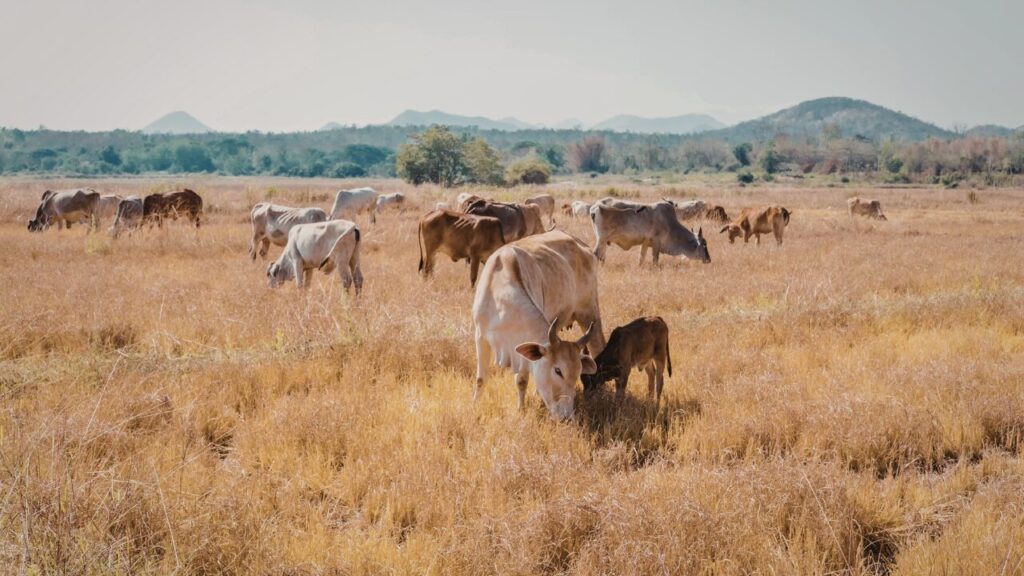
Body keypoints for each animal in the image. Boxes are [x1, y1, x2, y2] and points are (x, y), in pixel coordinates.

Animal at [472, 230, 606, 420]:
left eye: (578, 372)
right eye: (558, 370)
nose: (566, 417)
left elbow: (521, 380)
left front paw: (521, 409)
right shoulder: (480, 337)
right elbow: (481, 379)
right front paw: (475, 406)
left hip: (589, 312)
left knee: (599, 346)